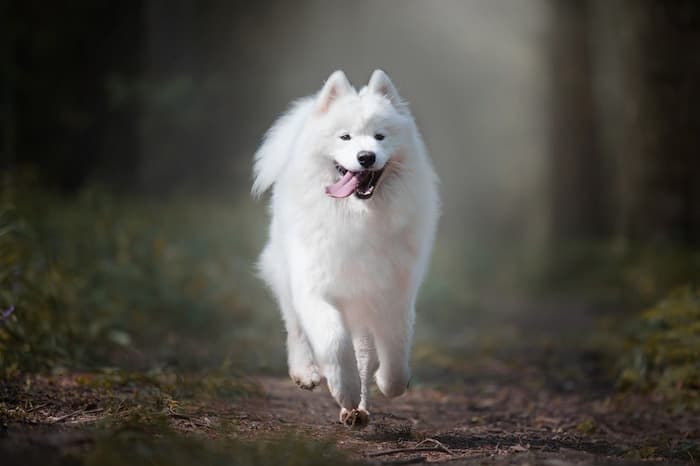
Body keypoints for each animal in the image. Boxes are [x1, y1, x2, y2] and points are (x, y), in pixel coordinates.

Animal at [250, 67, 438, 428]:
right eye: (345, 138)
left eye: (380, 137)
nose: (366, 157)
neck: (358, 217)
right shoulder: (316, 289)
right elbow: (334, 344)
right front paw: (343, 389)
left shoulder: (391, 293)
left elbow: (394, 352)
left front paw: (385, 384)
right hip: (286, 275)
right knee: (295, 327)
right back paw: (307, 373)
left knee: (364, 355)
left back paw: (358, 411)